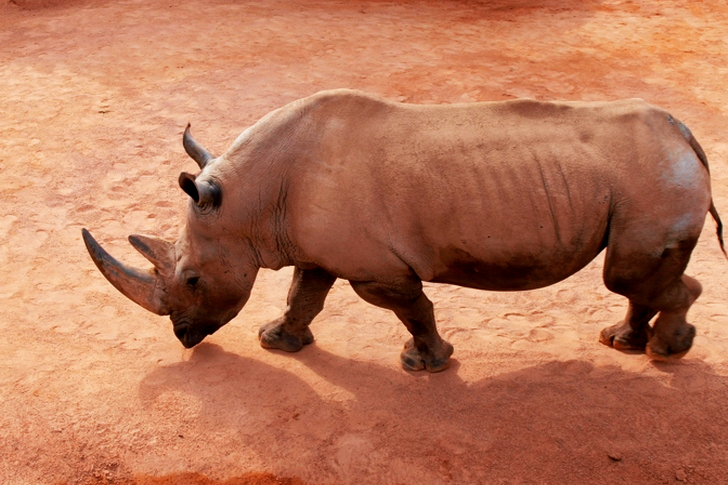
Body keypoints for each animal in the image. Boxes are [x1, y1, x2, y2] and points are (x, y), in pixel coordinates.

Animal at [83, 89, 725, 372]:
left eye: (192, 279)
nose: (184, 338)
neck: (250, 202)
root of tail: (686, 136)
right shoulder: (317, 251)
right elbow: (303, 295)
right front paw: (278, 342)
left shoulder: (377, 269)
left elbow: (411, 307)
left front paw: (427, 363)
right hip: (650, 177)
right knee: (637, 277)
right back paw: (624, 343)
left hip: (655, 178)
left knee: (629, 275)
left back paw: (665, 352)